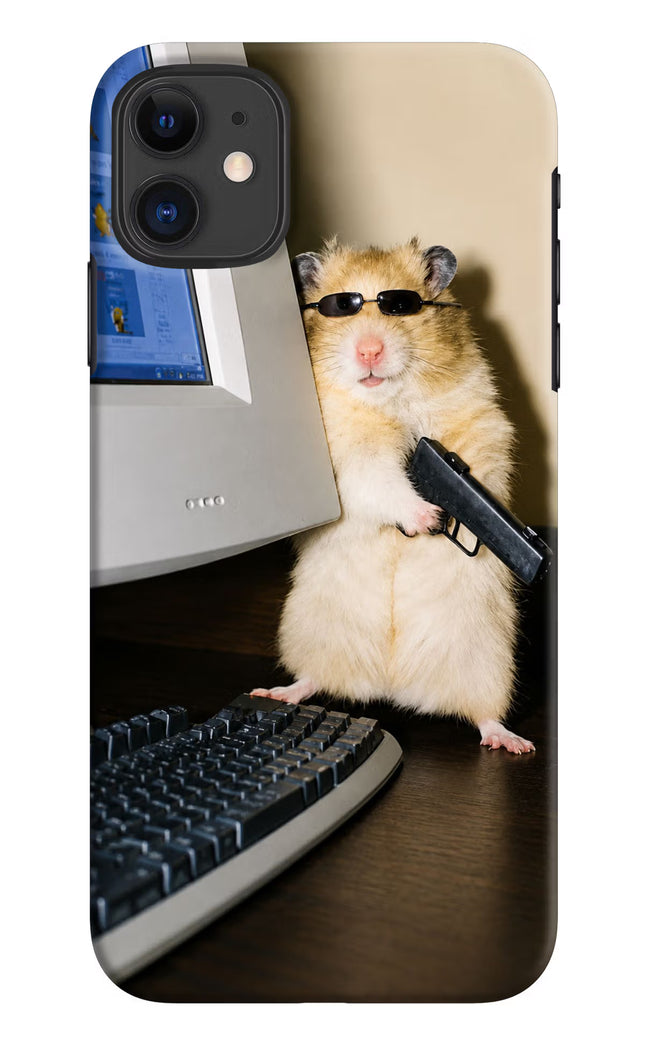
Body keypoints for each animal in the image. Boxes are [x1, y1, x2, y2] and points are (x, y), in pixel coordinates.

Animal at [252, 238, 534, 754]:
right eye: (340, 308)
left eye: (401, 306)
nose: (369, 350)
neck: (389, 401)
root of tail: (392, 686)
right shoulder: (348, 458)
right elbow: (380, 481)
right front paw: (428, 518)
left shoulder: (481, 424)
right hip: (311, 632)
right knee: (313, 678)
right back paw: (276, 692)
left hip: (487, 660)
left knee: (484, 714)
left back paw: (512, 742)